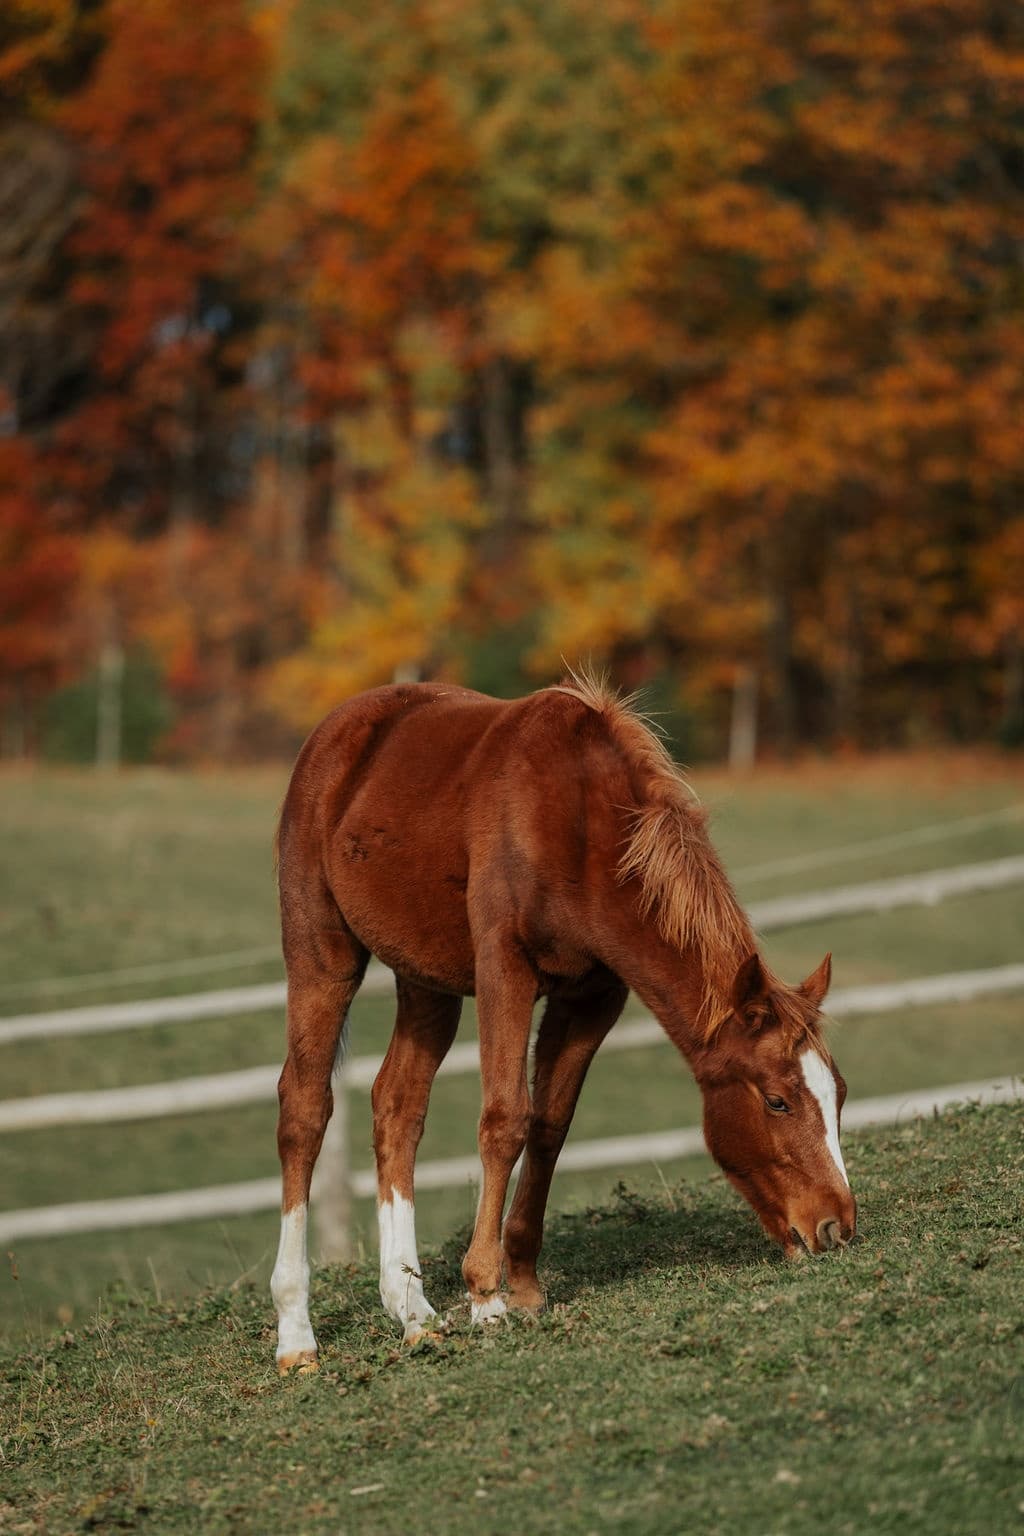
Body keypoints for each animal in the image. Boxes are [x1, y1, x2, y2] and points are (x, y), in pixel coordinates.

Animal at [271, 673, 856, 1373]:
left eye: (839, 1094)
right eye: (776, 1101)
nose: (836, 1226)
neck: (580, 825)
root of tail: (335, 732)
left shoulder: (593, 994)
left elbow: (550, 1124)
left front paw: (522, 1286)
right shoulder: (505, 969)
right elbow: (505, 1120)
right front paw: (486, 1296)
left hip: (425, 982)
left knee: (398, 1107)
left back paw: (413, 1313)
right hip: (321, 954)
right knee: (305, 1110)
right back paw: (296, 1334)